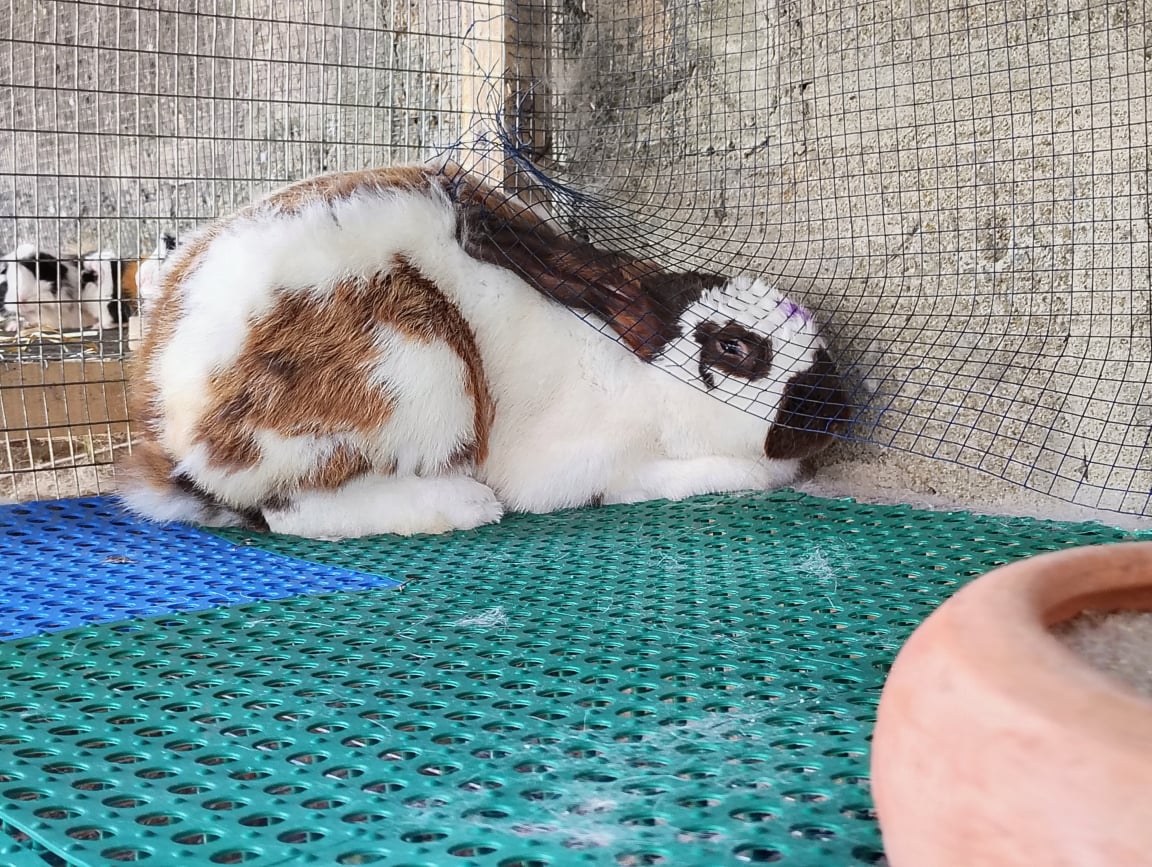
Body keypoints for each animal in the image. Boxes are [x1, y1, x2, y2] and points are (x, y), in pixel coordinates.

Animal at [118, 162, 851, 539]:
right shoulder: (596, 466)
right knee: (289, 512)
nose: (839, 411)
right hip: (417, 368)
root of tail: (177, 437)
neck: (636, 371)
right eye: (734, 346)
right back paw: (463, 504)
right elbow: (711, 476)